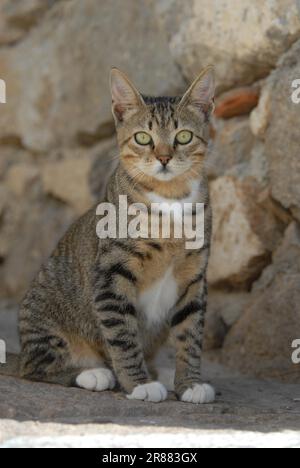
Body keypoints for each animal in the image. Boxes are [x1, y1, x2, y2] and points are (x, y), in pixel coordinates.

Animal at [15, 65, 214, 402]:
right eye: (143, 138)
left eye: (184, 136)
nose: (163, 158)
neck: (170, 199)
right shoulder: (112, 273)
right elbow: (122, 335)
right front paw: (139, 384)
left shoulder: (194, 275)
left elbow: (191, 333)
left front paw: (190, 383)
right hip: (45, 318)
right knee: (36, 368)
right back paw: (94, 373)